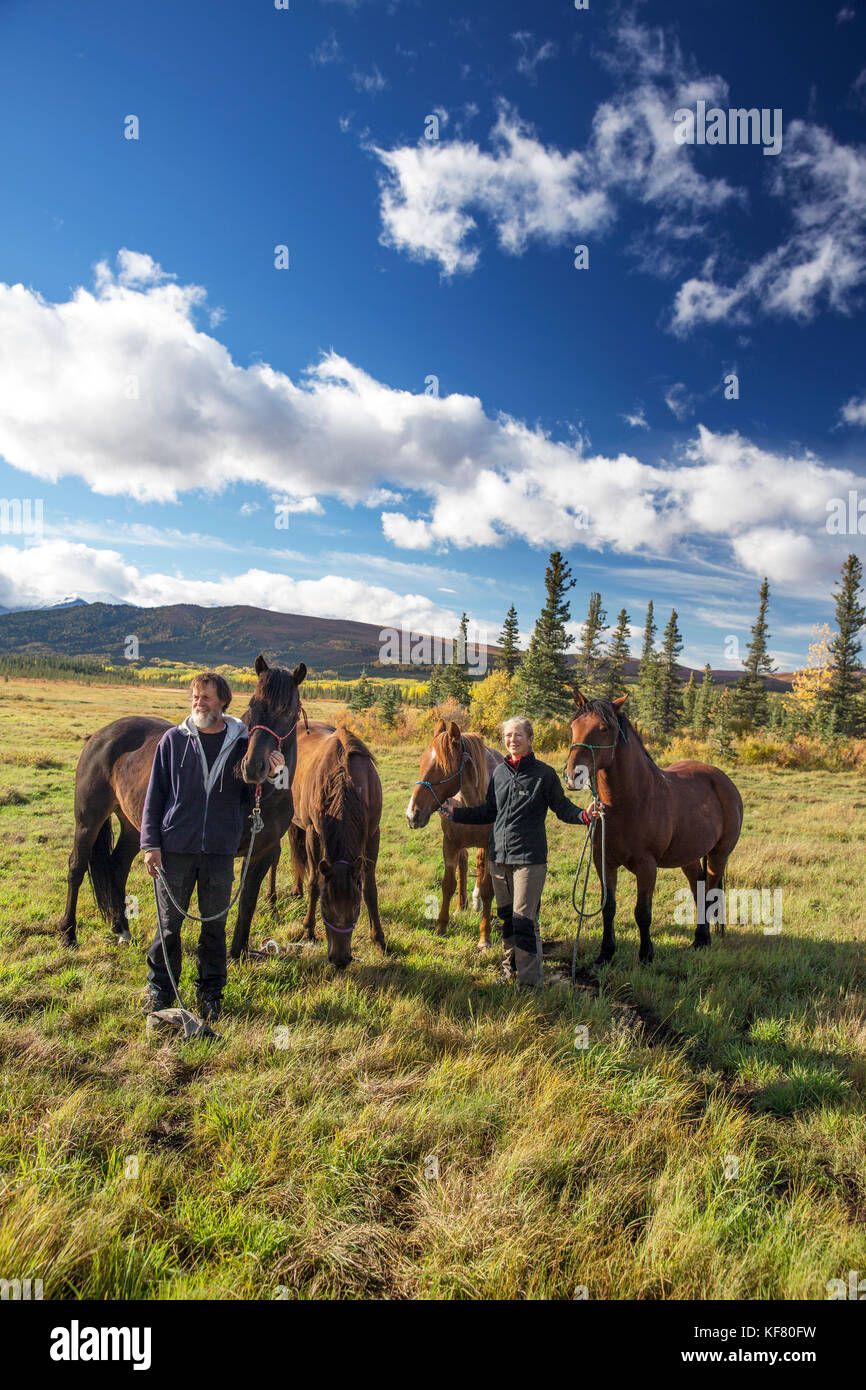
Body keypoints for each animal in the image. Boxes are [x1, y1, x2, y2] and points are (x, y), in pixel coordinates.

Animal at [58, 655, 306, 957]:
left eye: (289, 711)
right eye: (252, 704)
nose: (253, 767)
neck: (262, 797)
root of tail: (101, 735)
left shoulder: (263, 853)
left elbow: (247, 901)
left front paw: (237, 953)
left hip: (134, 826)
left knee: (117, 866)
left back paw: (122, 929)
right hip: (88, 821)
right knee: (76, 867)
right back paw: (68, 934)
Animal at [283, 722, 386, 968]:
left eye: (356, 907)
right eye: (325, 906)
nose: (340, 959)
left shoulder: (372, 834)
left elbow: (370, 888)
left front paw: (379, 939)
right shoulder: (313, 831)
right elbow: (314, 882)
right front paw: (308, 930)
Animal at [405, 719, 503, 949]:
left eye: (443, 768)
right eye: (421, 762)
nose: (412, 814)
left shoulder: (489, 847)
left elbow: (488, 889)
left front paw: (484, 937)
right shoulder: (450, 844)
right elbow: (448, 884)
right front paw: (441, 927)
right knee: (464, 864)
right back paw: (462, 906)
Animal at [563, 689, 743, 965]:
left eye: (604, 728)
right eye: (573, 726)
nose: (574, 775)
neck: (626, 802)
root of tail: (722, 778)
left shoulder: (646, 866)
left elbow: (642, 912)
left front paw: (646, 955)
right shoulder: (603, 862)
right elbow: (608, 908)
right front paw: (606, 953)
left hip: (718, 855)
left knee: (710, 891)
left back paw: (704, 939)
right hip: (689, 856)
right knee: (698, 888)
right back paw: (698, 939)